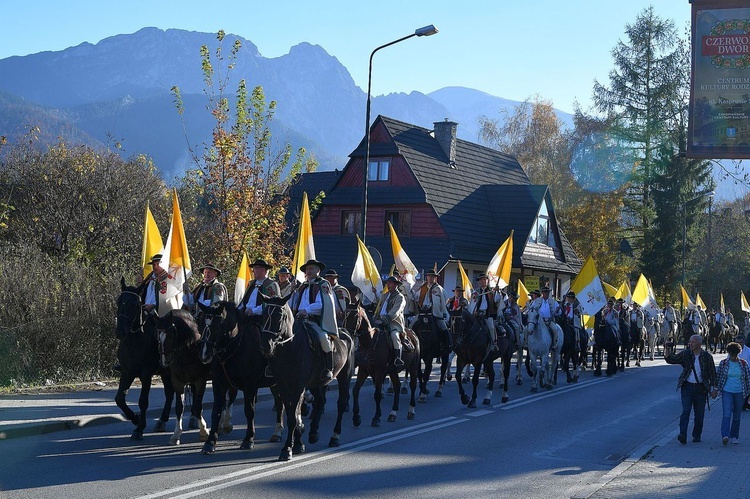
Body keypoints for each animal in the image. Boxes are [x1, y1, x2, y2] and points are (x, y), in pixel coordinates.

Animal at [114, 280, 176, 444]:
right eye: (119, 301)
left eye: (135, 304)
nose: (120, 332)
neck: (134, 340)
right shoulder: (127, 372)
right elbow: (119, 399)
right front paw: (135, 419)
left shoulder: (146, 374)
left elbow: (143, 401)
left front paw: (139, 428)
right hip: (165, 372)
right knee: (170, 393)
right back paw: (162, 421)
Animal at [197, 302, 282, 456]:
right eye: (200, 323)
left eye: (218, 325)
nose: (204, 355)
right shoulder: (219, 384)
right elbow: (216, 411)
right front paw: (210, 442)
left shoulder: (250, 386)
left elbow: (249, 411)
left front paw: (248, 439)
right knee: (280, 403)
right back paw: (278, 432)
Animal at [260, 294, 356, 462]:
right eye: (264, 315)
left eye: (280, 316)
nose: (266, 345)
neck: (291, 347)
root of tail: (345, 332)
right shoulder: (284, 386)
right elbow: (291, 413)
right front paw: (297, 443)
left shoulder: (298, 387)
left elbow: (293, 416)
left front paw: (287, 449)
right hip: (316, 383)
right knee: (320, 401)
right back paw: (313, 433)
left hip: (344, 377)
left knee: (341, 404)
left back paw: (335, 436)